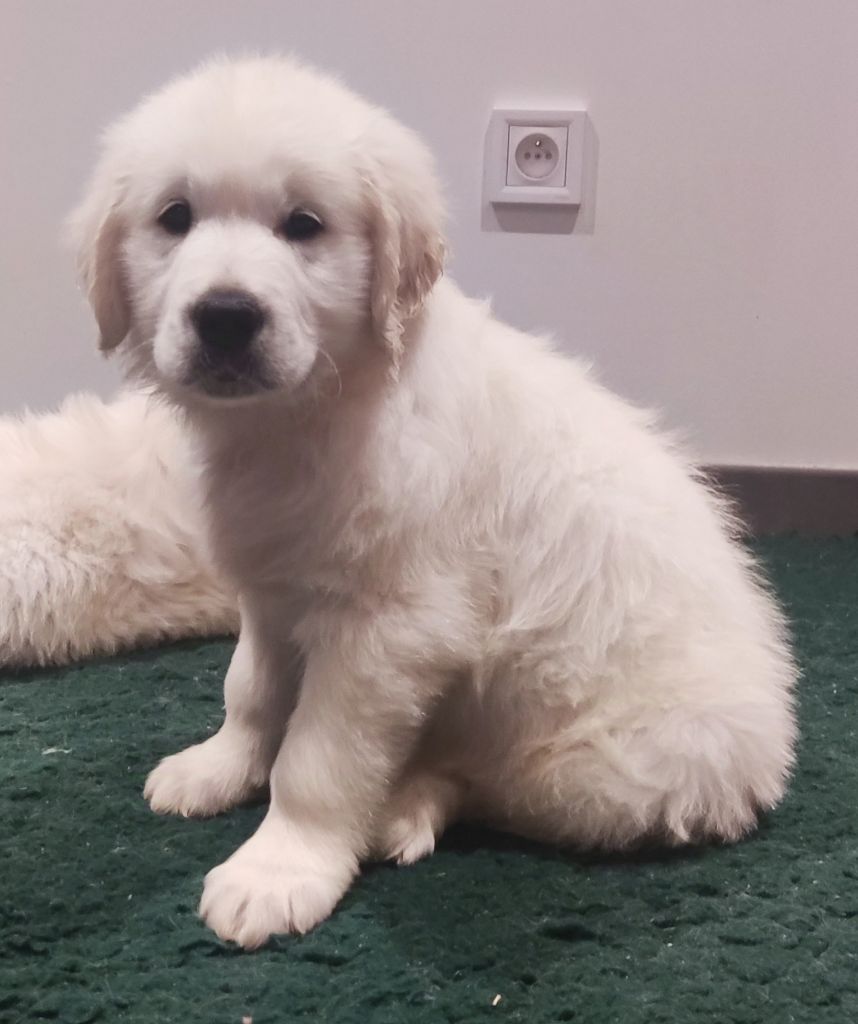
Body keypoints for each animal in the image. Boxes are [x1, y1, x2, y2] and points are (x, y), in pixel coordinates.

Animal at [69, 55, 797, 948]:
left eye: (304, 225)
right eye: (175, 217)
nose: (227, 316)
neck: (314, 412)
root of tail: (769, 745)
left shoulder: (391, 627)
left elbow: (317, 758)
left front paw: (279, 870)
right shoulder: (273, 587)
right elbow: (252, 690)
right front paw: (220, 766)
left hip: (598, 764)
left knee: (480, 783)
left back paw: (400, 810)